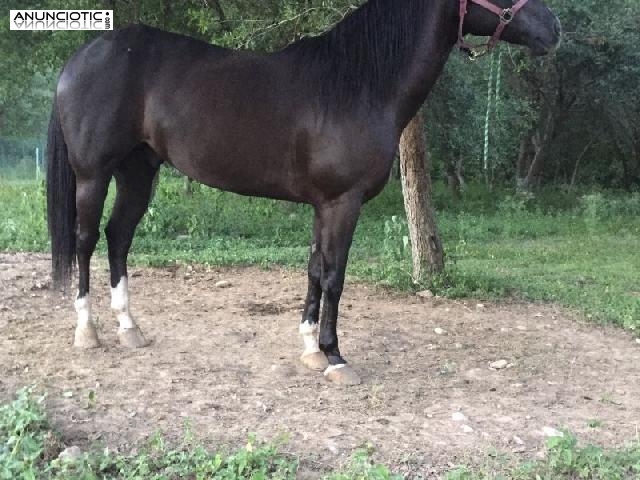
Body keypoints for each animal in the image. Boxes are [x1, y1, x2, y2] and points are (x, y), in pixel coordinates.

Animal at [47, 0, 561, 385]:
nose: (554, 29)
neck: (358, 83)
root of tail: (81, 58)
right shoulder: (342, 203)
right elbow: (334, 276)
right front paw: (335, 357)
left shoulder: (323, 206)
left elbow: (315, 270)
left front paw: (310, 347)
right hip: (94, 174)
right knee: (86, 240)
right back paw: (87, 331)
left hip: (138, 172)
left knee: (118, 237)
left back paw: (130, 328)